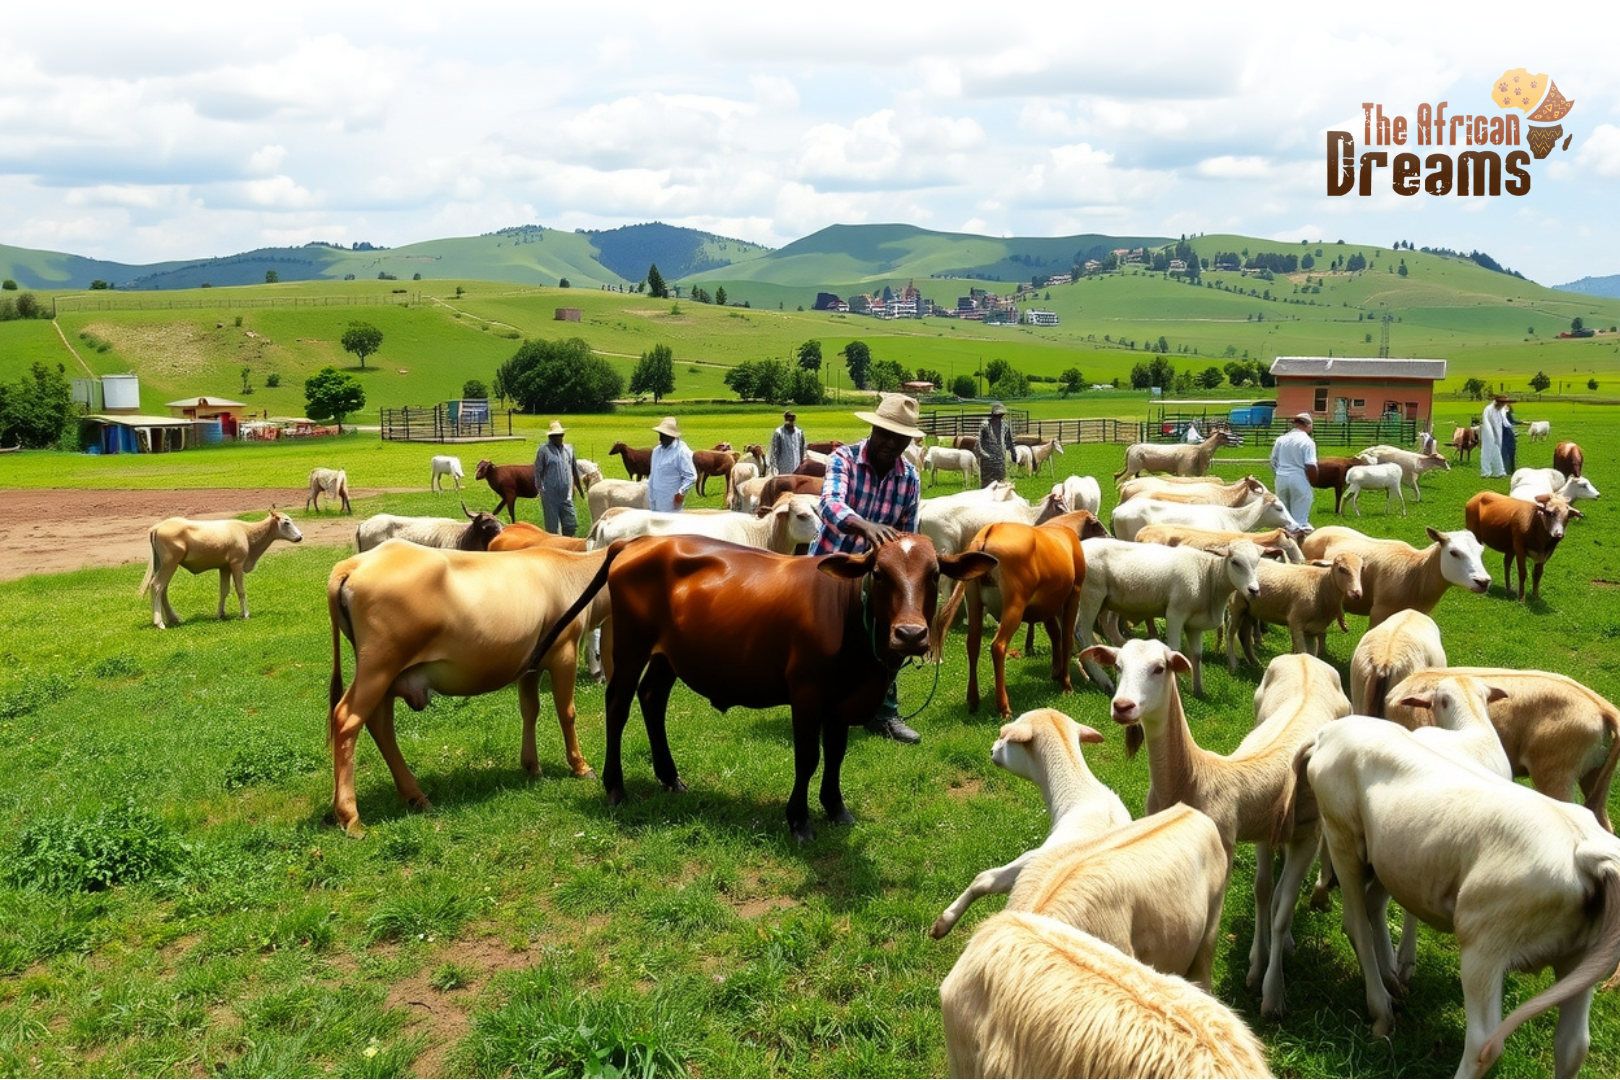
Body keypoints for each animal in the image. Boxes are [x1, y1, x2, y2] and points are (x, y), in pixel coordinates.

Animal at [140, 510, 303, 629]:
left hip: (163, 565)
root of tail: (158, 526)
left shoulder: (224, 567)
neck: (246, 532)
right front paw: (245, 614)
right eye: (286, 522)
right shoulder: (237, 564)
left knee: (162, 589)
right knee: (157, 585)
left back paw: (172, 619)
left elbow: (224, 590)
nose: (300, 537)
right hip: (170, 564)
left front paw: (221, 614)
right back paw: (159, 622)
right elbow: (240, 590)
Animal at [325, 542, 613, 836]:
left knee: (380, 724)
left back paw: (415, 795)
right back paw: (350, 816)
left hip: (385, 673)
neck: (573, 573)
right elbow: (567, 713)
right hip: (380, 664)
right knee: (347, 719)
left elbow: (530, 710)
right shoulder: (564, 652)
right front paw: (580, 765)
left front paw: (531, 765)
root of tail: (354, 564)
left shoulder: (530, 664)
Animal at [527, 534, 996, 841]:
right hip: (630, 645)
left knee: (652, 699)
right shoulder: (806, 693)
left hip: (669, 654)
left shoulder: (840, 701)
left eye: (934, 574)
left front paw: (835, 807)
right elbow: (808, 758)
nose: (911, 635)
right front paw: (799, 819)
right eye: (879, 573)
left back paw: (670, 777)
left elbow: (836, 754)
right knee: (618, 704)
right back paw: (615, 786)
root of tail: (640, 541)